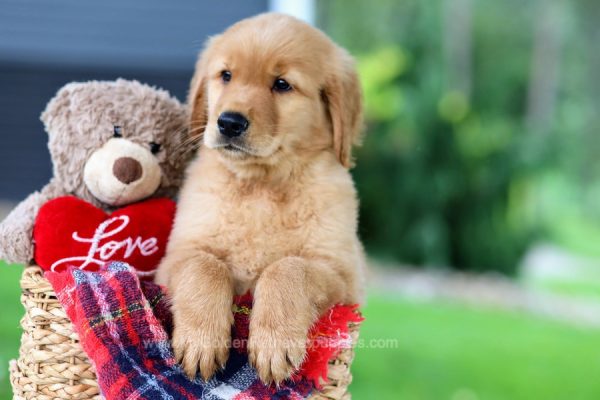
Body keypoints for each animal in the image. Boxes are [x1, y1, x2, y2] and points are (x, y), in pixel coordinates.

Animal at [156, 13, 366, 384]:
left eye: (282, 84)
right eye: (226, 75)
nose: (228, 122)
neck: (260, 186)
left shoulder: (342, 273)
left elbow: (288, 267)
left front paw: (274, 344)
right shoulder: (175, 257)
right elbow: (206, 266)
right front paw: (201, 340)